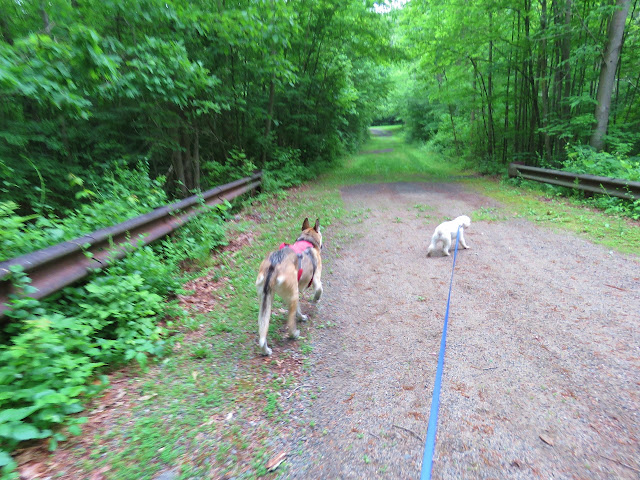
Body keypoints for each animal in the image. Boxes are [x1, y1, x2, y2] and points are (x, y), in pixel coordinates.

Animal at [255, 218, 323, 356]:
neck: (307, 240)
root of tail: (273, 266)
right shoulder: (316, 278)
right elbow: (319, 290)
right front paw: (315, 299)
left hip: (266, 300)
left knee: (262, 332)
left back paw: (265, 350)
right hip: (293, 295)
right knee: (291, 323)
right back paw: (295, 333)